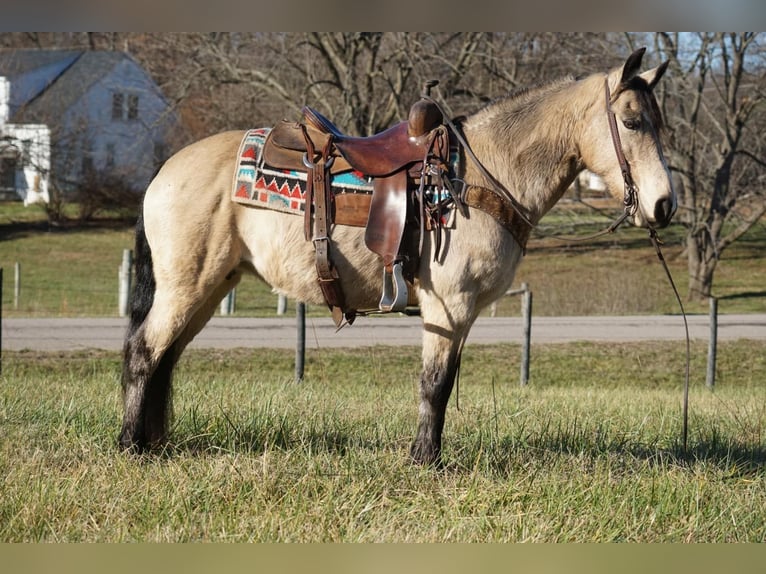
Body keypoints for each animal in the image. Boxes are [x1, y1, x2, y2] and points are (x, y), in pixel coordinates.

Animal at [120, 47, 680, 466]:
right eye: (632, 122)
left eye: (660, 123)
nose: (663, 205)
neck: (479, 178)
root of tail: (163, 171)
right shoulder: (449, 307)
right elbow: (434, 385)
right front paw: (424, 461)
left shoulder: (461, 315)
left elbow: (445, 385)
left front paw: (428, 455)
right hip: (186, 288)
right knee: (144, 351)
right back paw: (131, 447)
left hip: (210, 290)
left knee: (165, 356)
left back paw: (153, 441)